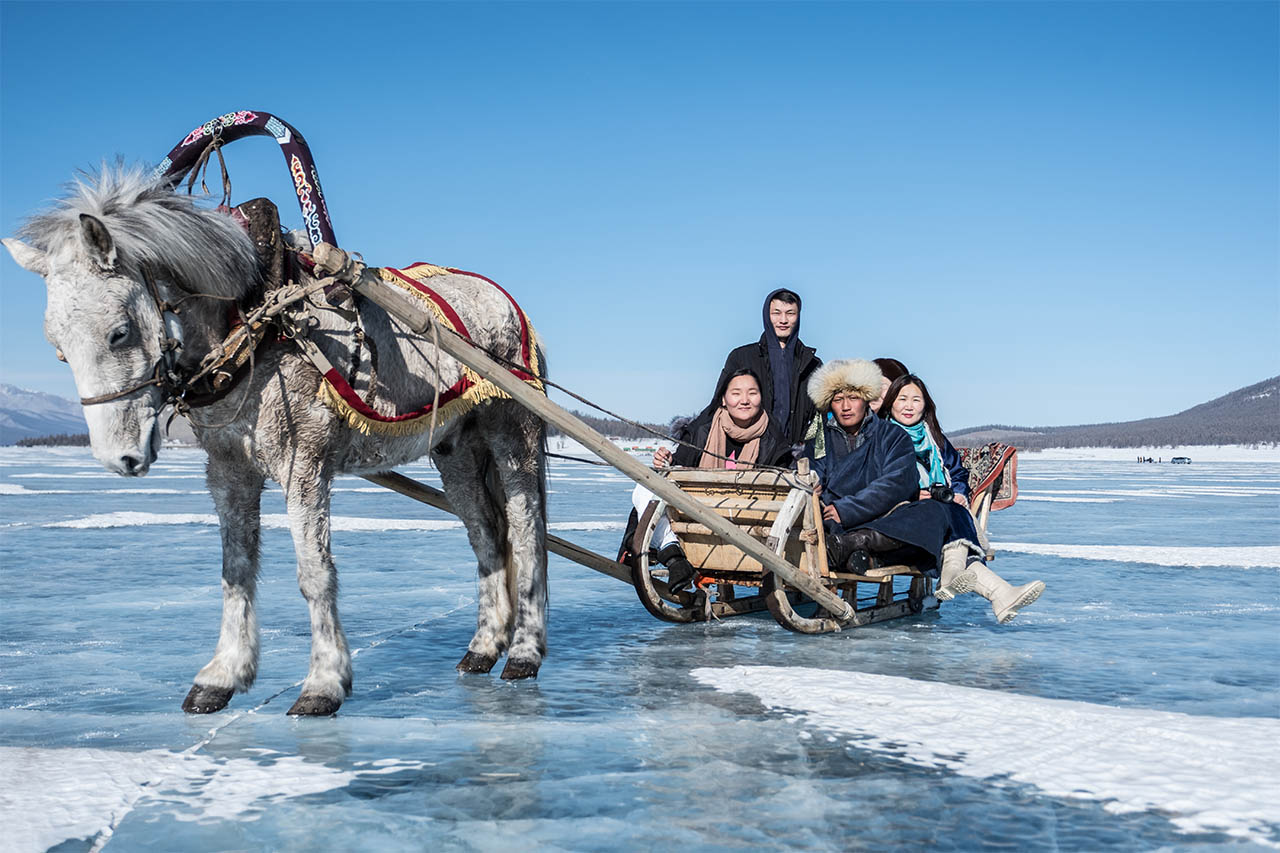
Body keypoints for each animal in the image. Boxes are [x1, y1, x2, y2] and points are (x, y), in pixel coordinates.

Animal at [6, 166, 555, 712]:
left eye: (119, 332)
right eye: (57, 347)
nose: (118, 458)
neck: (253, 322)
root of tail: (507, 303)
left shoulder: (304, 464)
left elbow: (314, 572)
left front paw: (324, 683)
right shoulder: (228, 469)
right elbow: (235, 569)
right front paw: (221, 675)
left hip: (513, 430)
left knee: (526, 532)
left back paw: (524, 653)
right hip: (455, 448)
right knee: (485, 533)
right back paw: (482, 647)